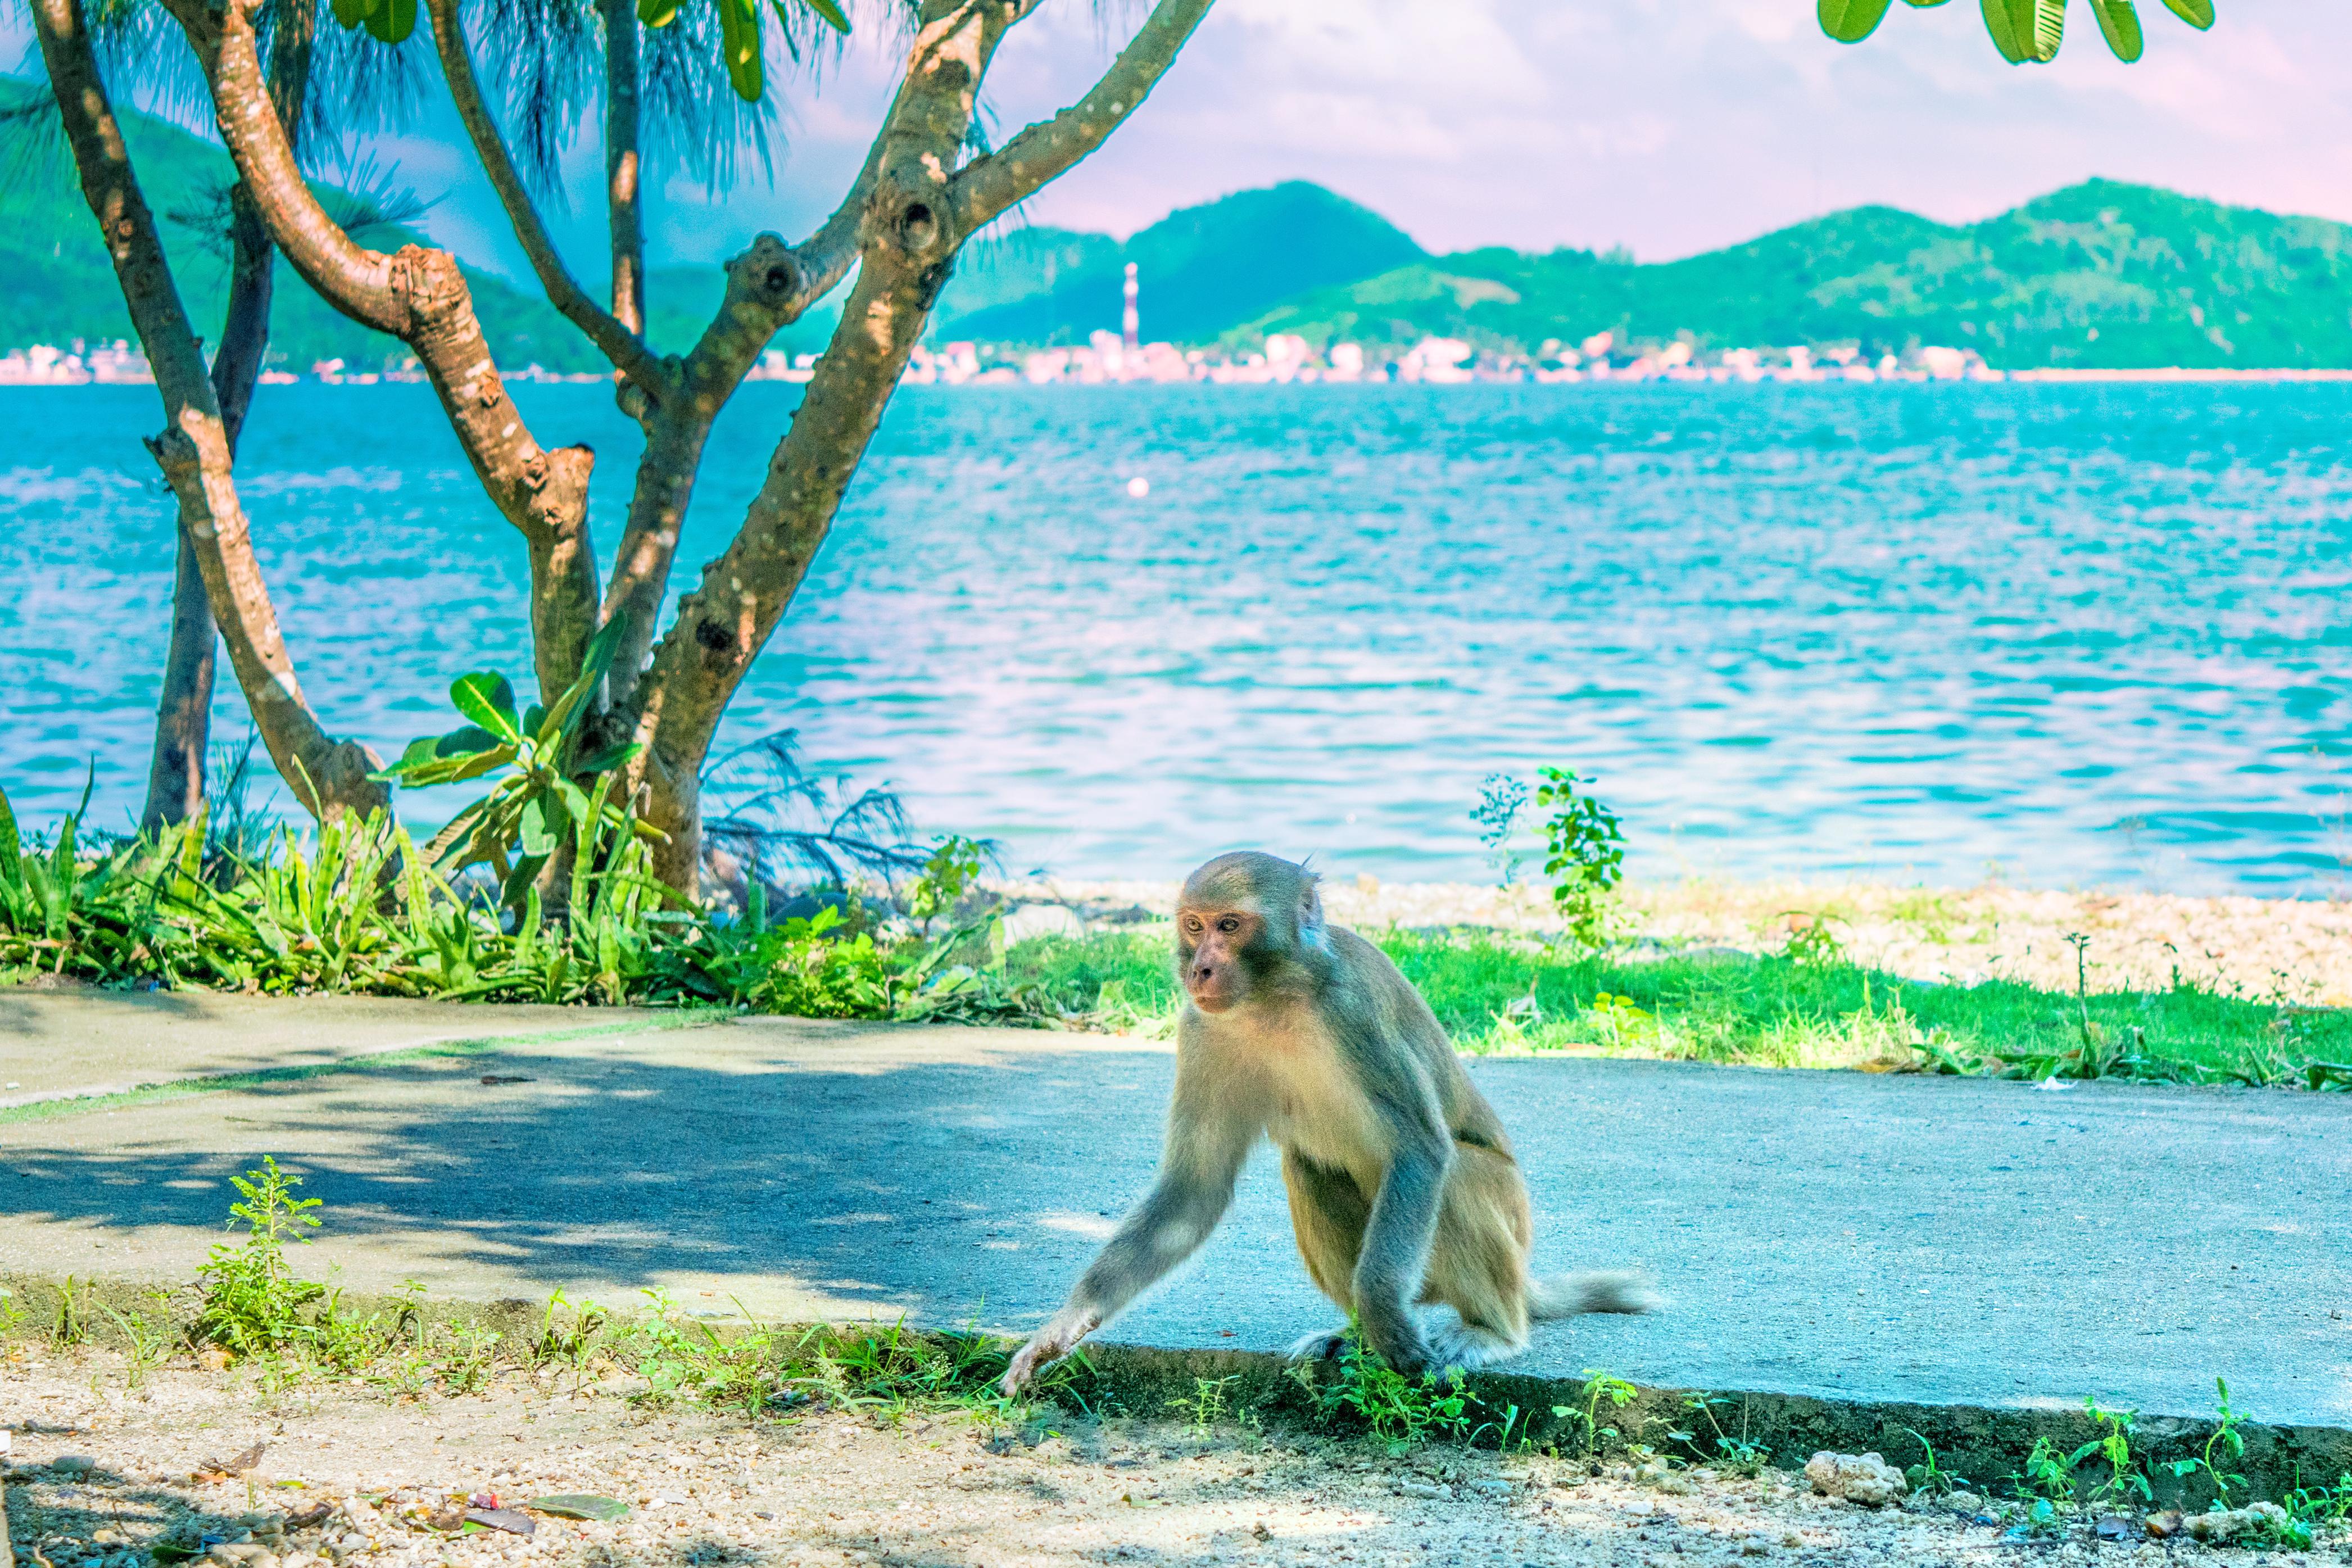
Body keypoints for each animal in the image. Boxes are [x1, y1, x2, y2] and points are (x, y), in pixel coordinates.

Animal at [997, 846, 1656, 1401]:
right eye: (1193, 926)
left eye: (1230, 926)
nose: (1200, 970)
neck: (1274, 997)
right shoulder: (1201, 1028)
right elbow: (1193, 1190)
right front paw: (1062, 1327)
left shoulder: (1353, 1010)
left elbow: (1419, 1149)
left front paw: (1384, 1313)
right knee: (1309, 1169)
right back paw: (1356, 1336)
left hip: (1503, 1223)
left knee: (1458, 1175)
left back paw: (1488, 1330)